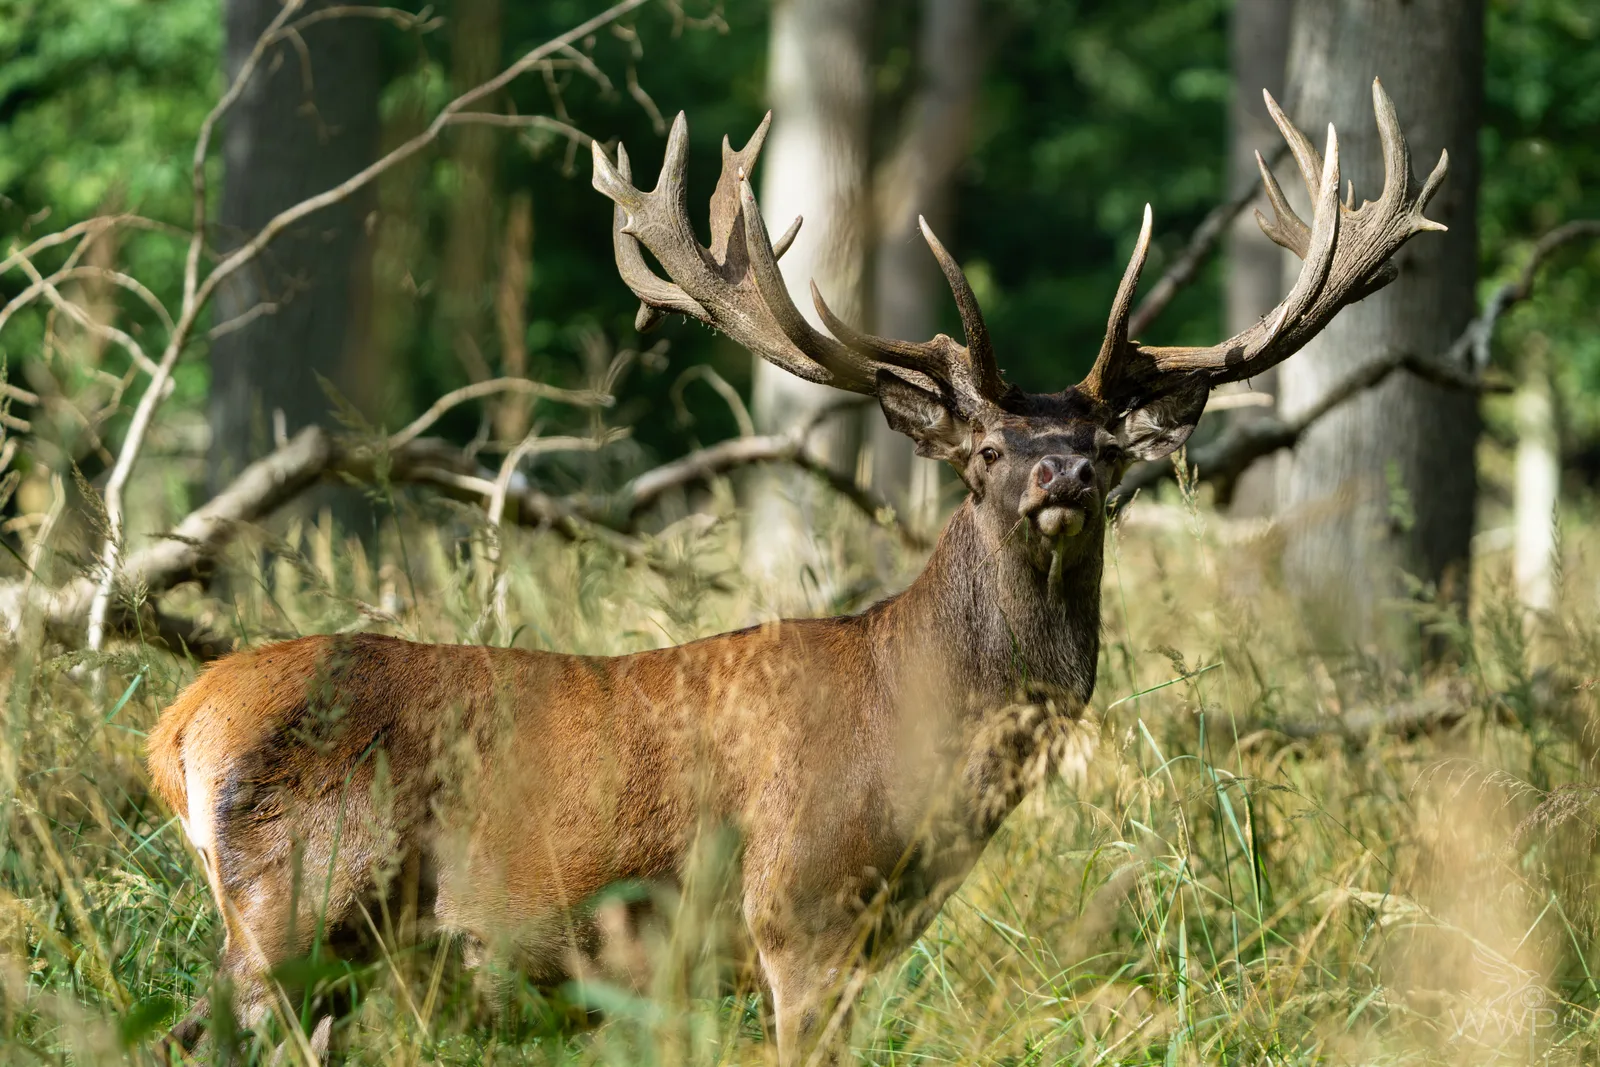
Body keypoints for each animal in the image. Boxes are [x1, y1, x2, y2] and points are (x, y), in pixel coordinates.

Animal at [148, 80, 1445, 1064]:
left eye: (1105, 446)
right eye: (982, 451)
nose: (1062, 475)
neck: (920, 743)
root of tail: (177, 723)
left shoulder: (862, 944)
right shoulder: (801, 914)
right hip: (296, 908)